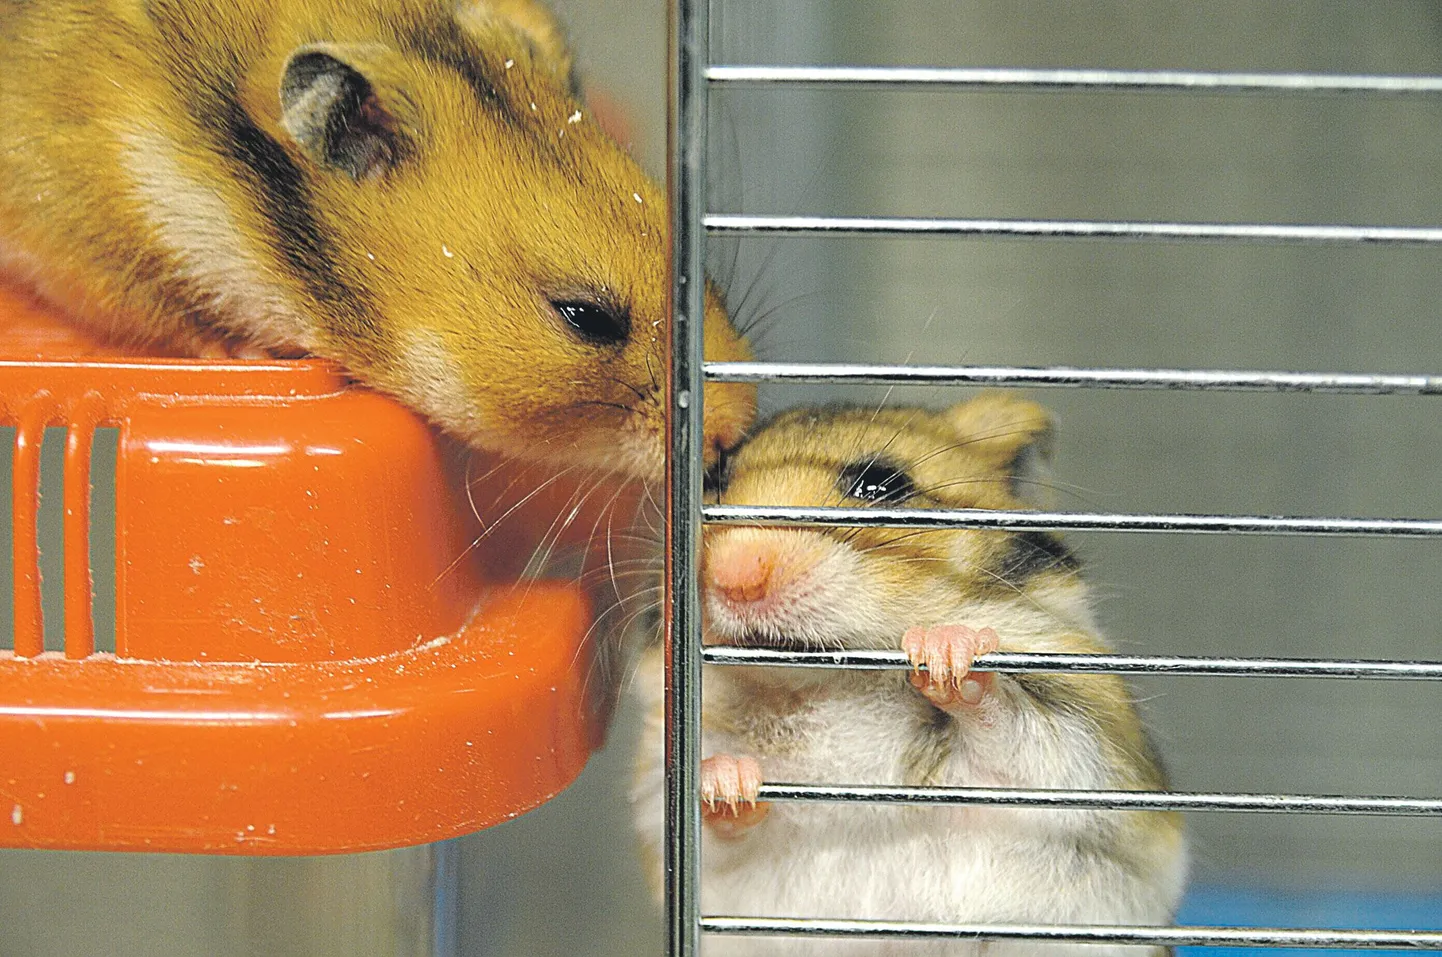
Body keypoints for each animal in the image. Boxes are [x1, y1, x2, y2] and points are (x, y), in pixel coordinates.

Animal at [637, 392, 1188, 951]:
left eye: (883, 484)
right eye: (716, 481)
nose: (735, 576)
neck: (825, 685)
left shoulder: (1081, 753)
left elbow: (1011, 732)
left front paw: (942, 646)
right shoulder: (663, 802)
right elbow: (712, 826)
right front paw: (725, 778)